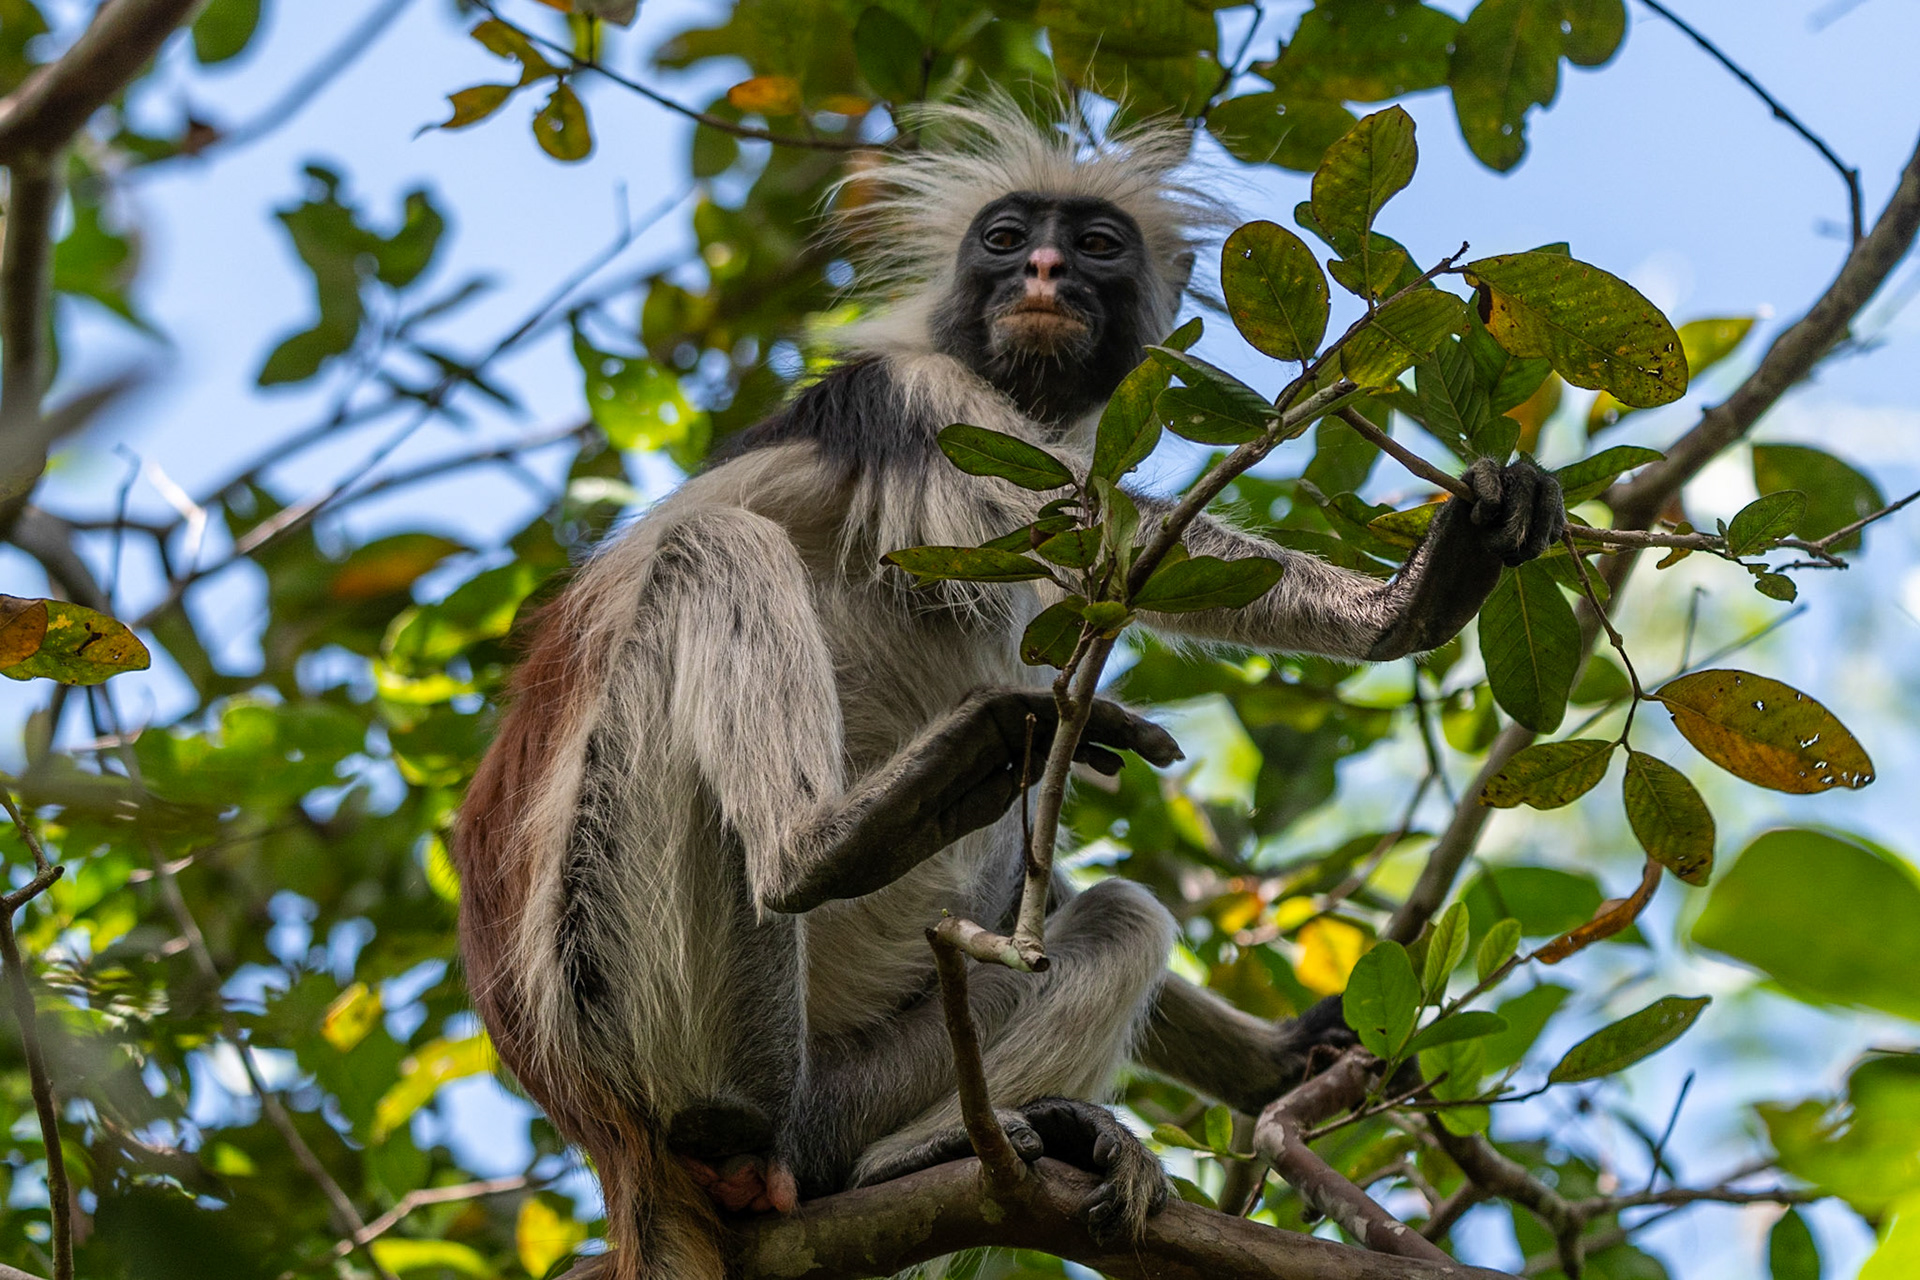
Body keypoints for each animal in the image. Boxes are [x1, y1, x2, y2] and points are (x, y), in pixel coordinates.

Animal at [452, 97, 1566, 1280]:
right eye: (1004, 237)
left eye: (1096, 243)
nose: (1041, 268)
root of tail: (596, 1120)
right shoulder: (914, 397)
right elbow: (1080, 532)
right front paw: (1400, 600)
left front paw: (1280, 1057)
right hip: (629, 977)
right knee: (715, 550)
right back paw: (834, 845)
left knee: (1108, 915)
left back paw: (917, 1152)